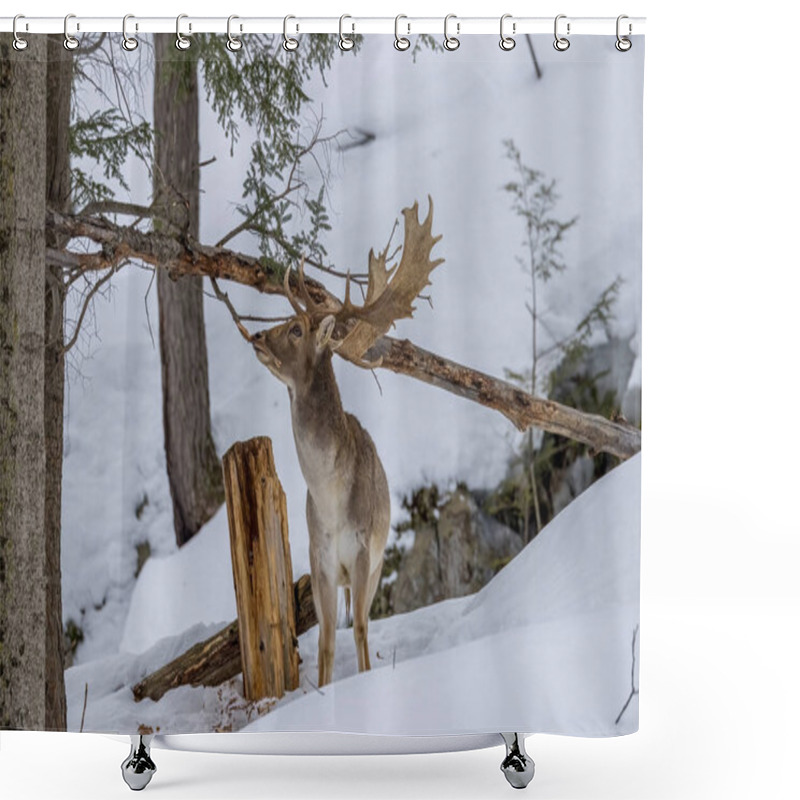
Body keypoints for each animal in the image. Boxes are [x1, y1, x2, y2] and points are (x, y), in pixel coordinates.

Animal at [252, 198, 444, 688]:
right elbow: (324, 642)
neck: (330, 496)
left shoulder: (361, 553)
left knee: (366, 622)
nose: (257, 336)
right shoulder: (318, 558)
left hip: (376, 566)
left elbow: (357, 628)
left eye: (296, 330)